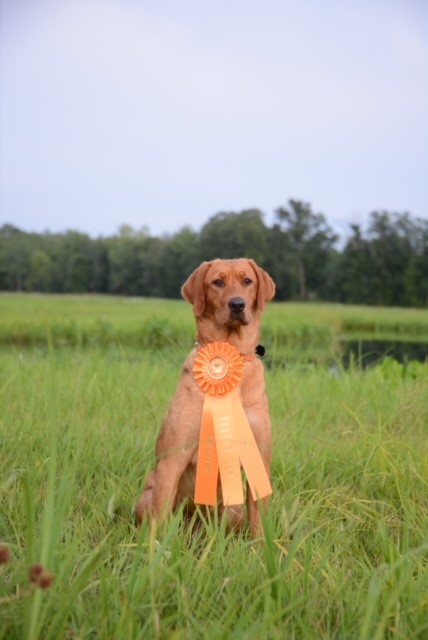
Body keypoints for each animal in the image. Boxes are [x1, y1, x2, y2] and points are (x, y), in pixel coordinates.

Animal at [137, 258, 278, 536]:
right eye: (218, 282)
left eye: (247, 281)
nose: (237, 304)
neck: (231, 354)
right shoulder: (172, 460)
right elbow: (159, 522)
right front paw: (155, 548)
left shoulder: (259, 459)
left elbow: (258, 523)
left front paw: (261, 548)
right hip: (147, 493)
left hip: (234, 509)